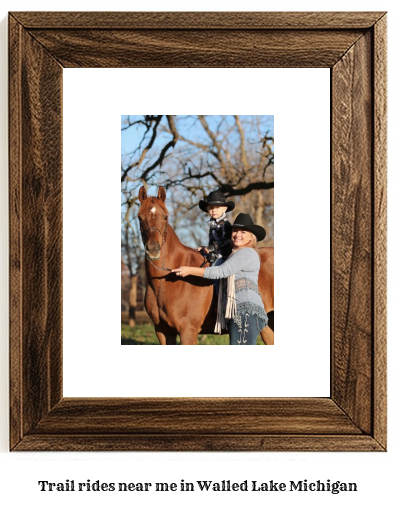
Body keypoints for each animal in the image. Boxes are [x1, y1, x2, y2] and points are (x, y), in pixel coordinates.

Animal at [138, 186, 274, 346]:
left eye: (165, 217)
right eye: (140, 218)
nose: (153, 249)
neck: (163, 284)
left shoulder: (188, 332)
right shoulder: (163, 332)